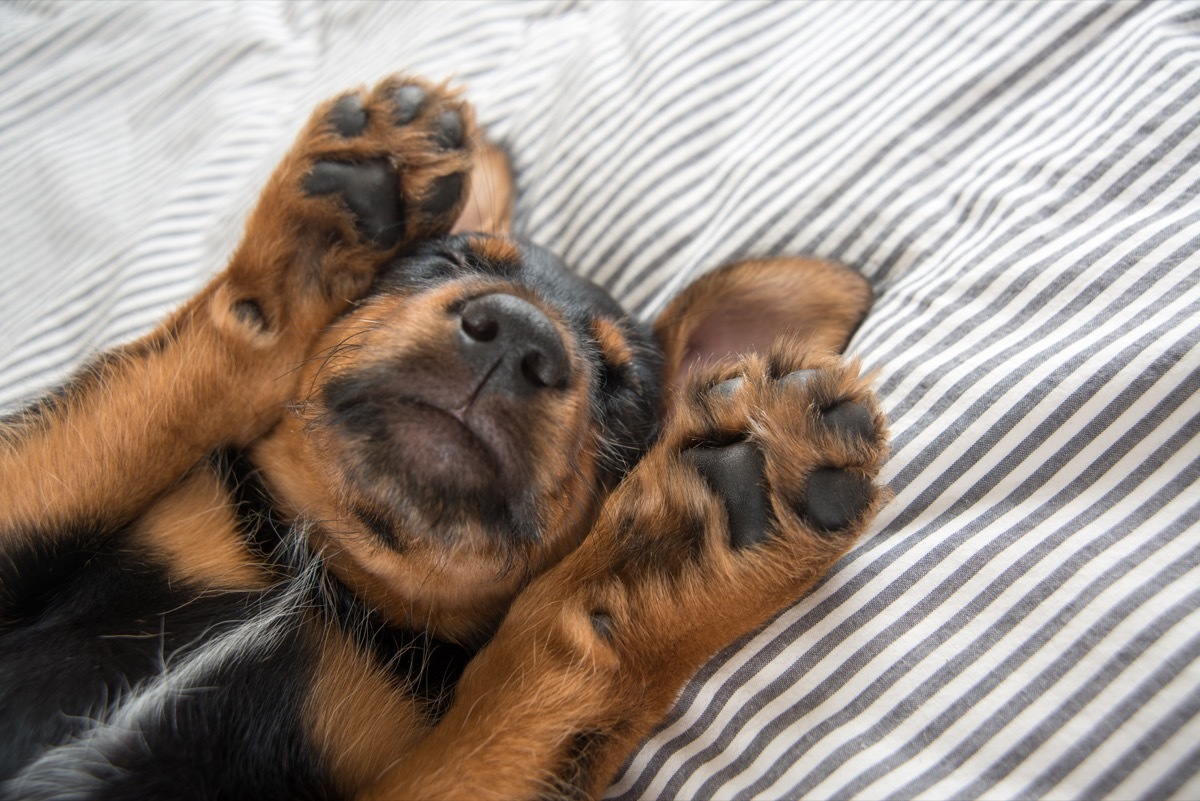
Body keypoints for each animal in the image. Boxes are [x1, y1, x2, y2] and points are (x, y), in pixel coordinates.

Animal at [2, 76, 892, 801]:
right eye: (449, 261)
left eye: (624, 388)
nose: (518, 336)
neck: (328, 575)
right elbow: (159, 386)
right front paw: (312, 248)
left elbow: (555, 667)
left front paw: (677, 553)